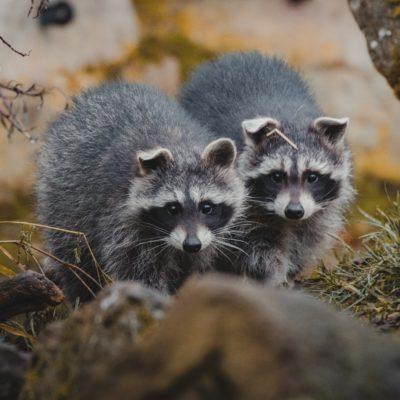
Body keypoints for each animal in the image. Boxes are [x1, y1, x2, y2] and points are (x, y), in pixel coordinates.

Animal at [36, 83, 245, 302]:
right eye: (172, 208)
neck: (180, 148)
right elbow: (138, 272)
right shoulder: (121, 220)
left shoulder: (208, 238)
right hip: (63, 195)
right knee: (74, 256)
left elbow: (195, 266)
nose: (191, 244)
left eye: (206, 207)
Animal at [180, 51, 354, 286]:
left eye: (312, 176)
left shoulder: (318, 210)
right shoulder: (243, 208)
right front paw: (273, 274)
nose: (294, 211)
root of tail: (235, 55)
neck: (291, 118)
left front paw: (292, 270)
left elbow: (308, 237)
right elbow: (256, 247)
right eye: (276, 176)